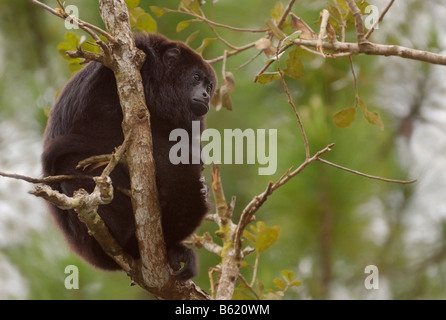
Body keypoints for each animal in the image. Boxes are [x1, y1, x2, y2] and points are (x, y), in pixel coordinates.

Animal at [41, 32, 216, 280]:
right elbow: (95, 127)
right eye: (196, 77)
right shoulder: (113, 70)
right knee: (73, 162)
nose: (206, 95)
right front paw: (173, 161)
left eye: (209, 86)